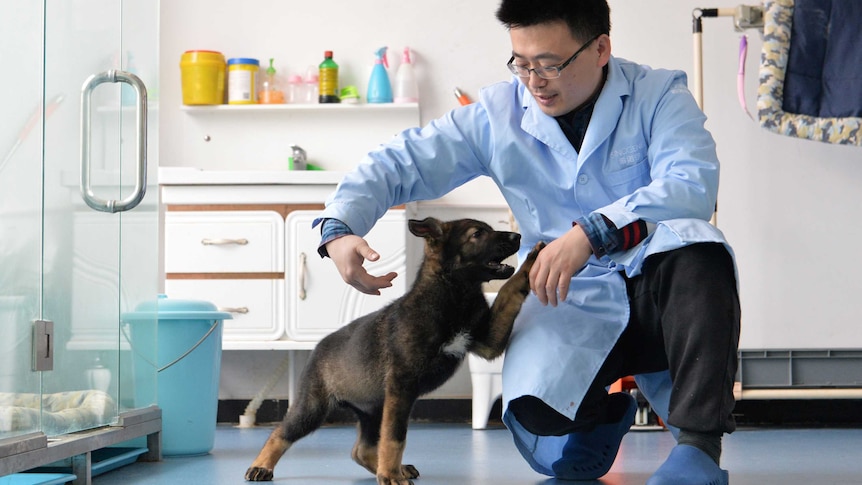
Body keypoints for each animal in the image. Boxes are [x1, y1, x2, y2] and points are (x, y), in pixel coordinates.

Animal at [243, 217, 544, 482]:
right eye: (477, 234)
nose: (517, 237)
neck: (454, 292)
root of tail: (317, 347)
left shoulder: (488, 342)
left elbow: (509, 290)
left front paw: (531, 263)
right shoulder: (402, 385)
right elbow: (395, 437)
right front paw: (389, 476)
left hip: (373, 409)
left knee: (360, 450)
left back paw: (395, 468)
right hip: (315, 407)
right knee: (281, 432)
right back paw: (261, 466)